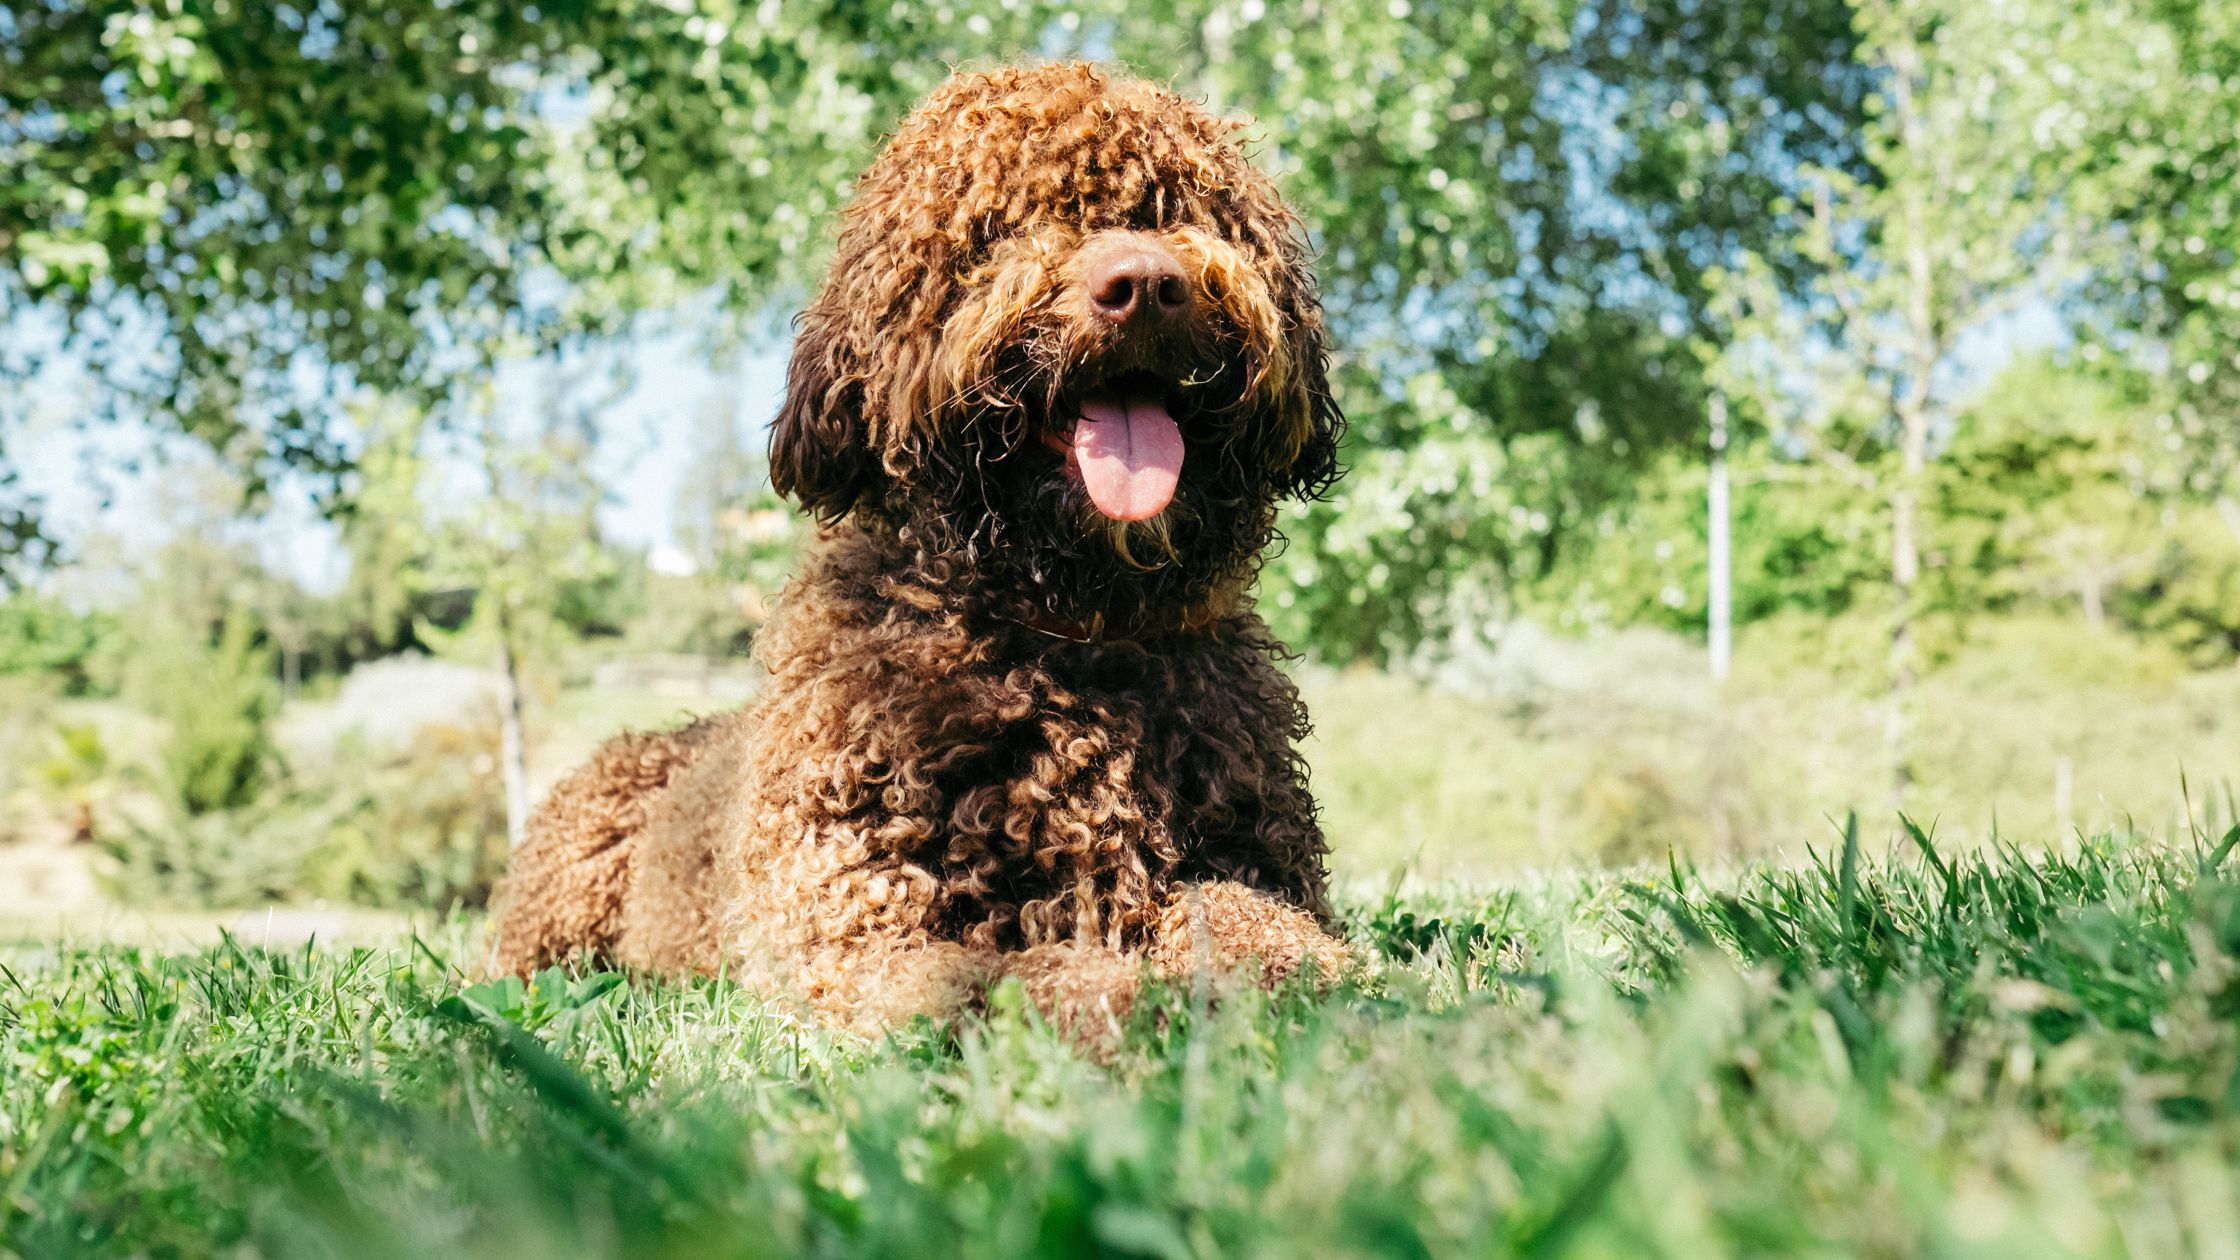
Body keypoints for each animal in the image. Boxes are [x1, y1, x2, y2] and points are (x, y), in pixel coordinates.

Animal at [490, 61, 1344, 1031]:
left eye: (1177, 208)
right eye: (1009, 222)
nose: (1147, 285)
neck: (1067, 632)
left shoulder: (1244, 868)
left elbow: (1264, 933)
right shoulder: (856, 936)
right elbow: (1006, 979)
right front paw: (1128, 1004)